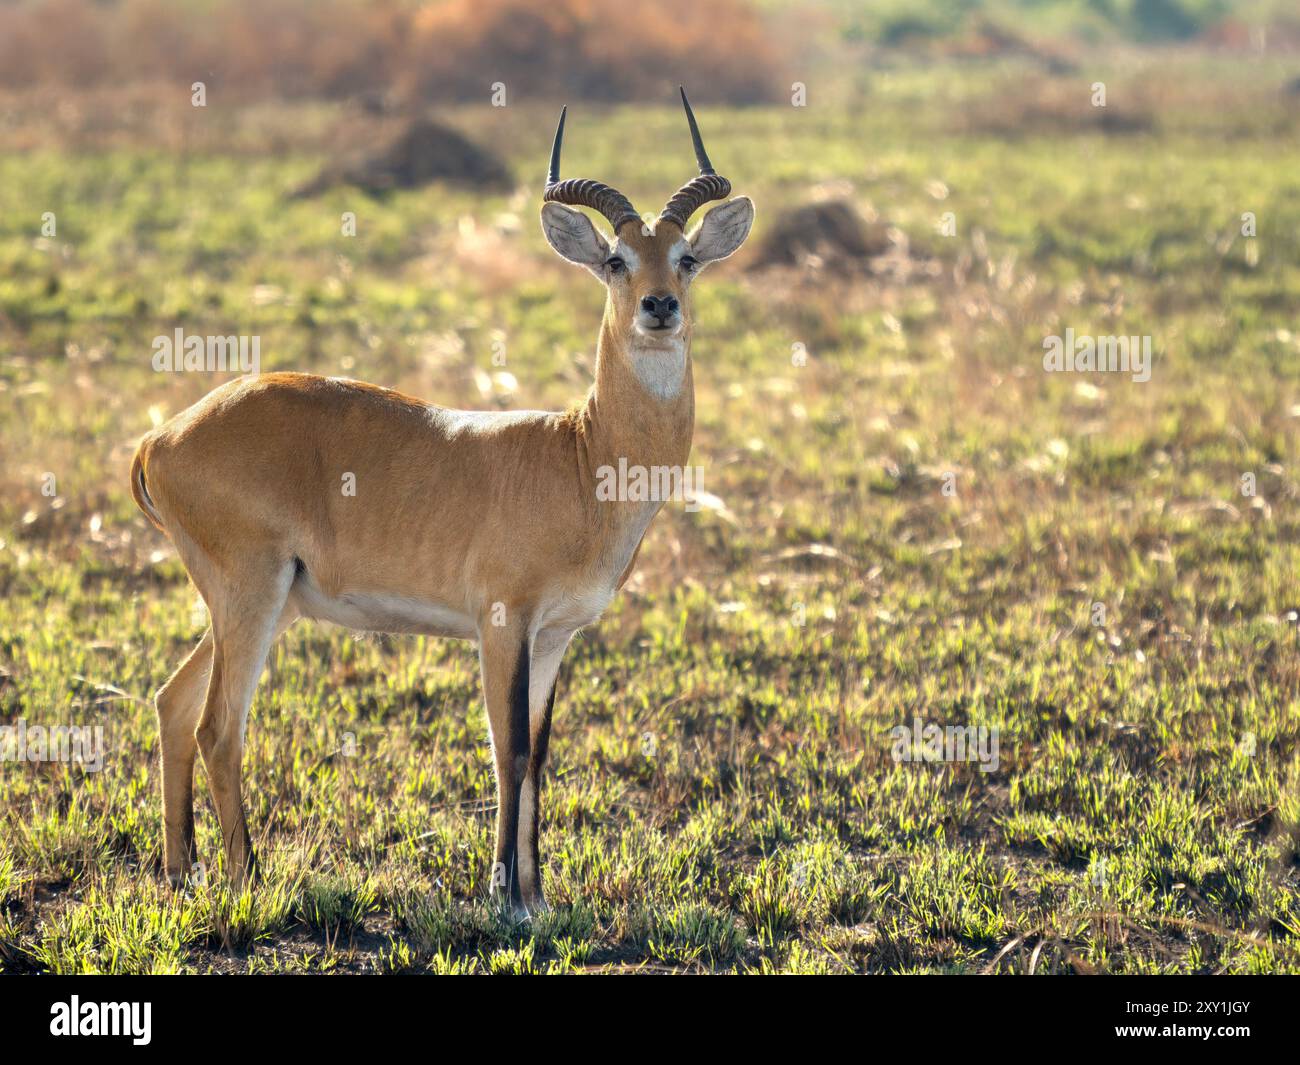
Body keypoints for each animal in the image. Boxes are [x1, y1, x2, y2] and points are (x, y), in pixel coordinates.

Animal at [129, 89, 754, 915]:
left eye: (685, 257)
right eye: (616, 259)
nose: (658, 306)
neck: (581, 455)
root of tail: (161, 436)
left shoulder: (554, 636)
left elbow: (539, 752)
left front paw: (538, 894)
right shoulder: (502, 621)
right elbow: (508, 749)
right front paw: (503, 895)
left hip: (260, 603)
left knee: (173, 702)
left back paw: (182, 871)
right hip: (250, 594)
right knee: (218, 726)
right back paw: (250, 878)